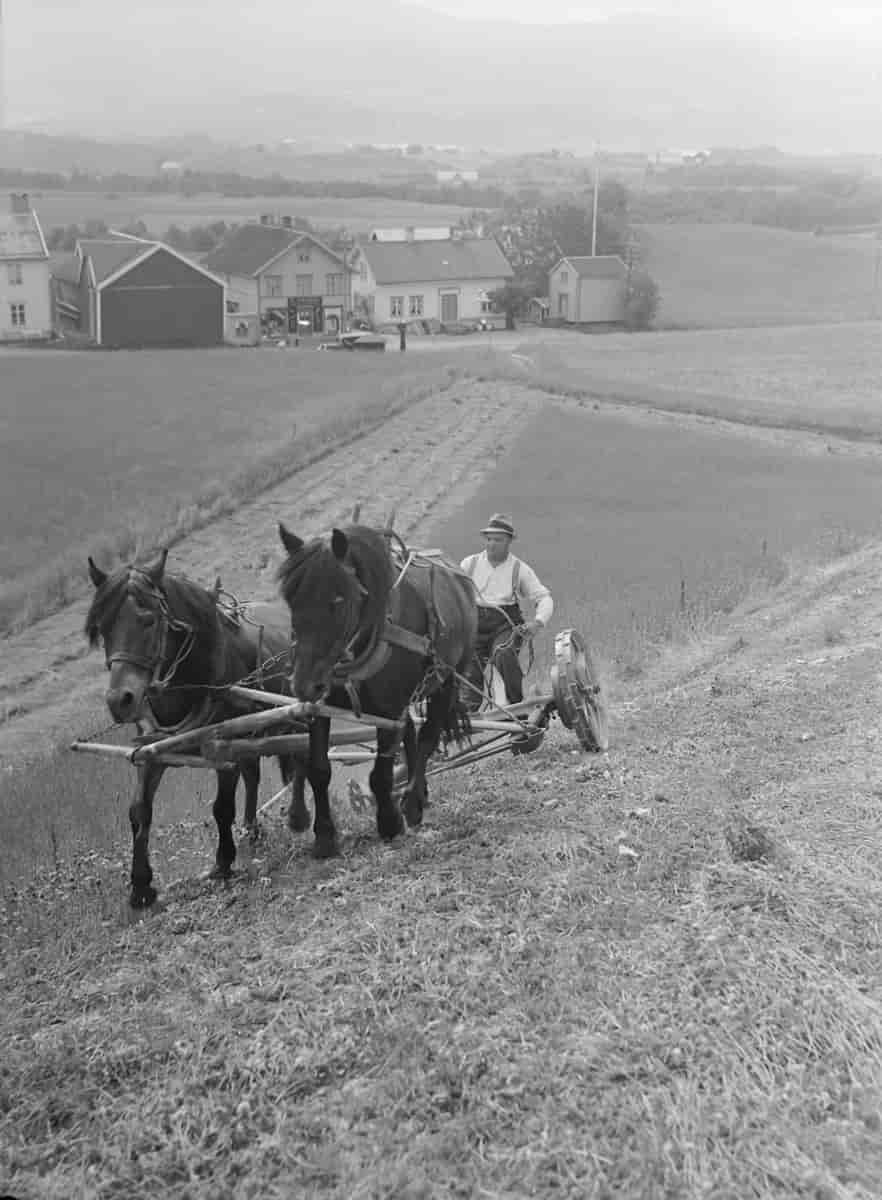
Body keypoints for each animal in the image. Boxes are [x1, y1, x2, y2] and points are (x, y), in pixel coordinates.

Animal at [86, 525, 480, 907]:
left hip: (442, 681)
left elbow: (222, 807)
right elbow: (140, 811)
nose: (120, 700)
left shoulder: (222, 744)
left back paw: (406, 802)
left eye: (149, 620)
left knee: (424, 735)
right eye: (102, 628)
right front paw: (141, 886)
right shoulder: (156, 749)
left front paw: (224, 861)